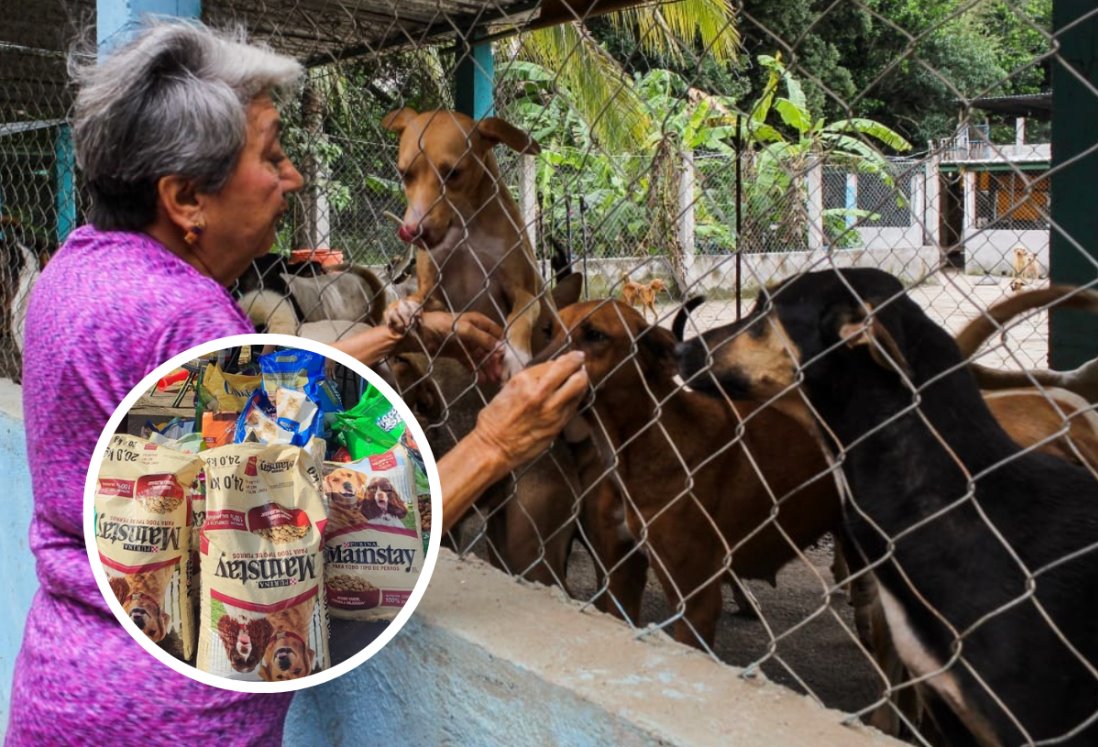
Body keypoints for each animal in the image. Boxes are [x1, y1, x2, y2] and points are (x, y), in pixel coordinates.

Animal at [540, 300, 838, 645]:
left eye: (595, 335)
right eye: (550, 330)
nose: (528, 369)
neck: (639, 443)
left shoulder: (695, 604)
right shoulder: (621, 573)